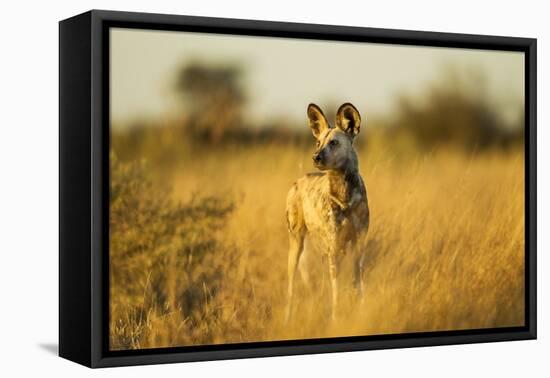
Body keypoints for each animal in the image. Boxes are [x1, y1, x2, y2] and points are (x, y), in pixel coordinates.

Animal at [284, 103, 370, 322]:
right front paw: (336, 318)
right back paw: (288, 318)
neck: (345, 196)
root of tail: (298, 181)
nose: (316, 156)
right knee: (291, 285)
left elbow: (358, 282)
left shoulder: (358, 244)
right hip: (297, 245)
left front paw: (361, 309)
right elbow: (337, 290)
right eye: (318, 142)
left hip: (322, 249)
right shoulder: (335, 247)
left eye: (334, 142)